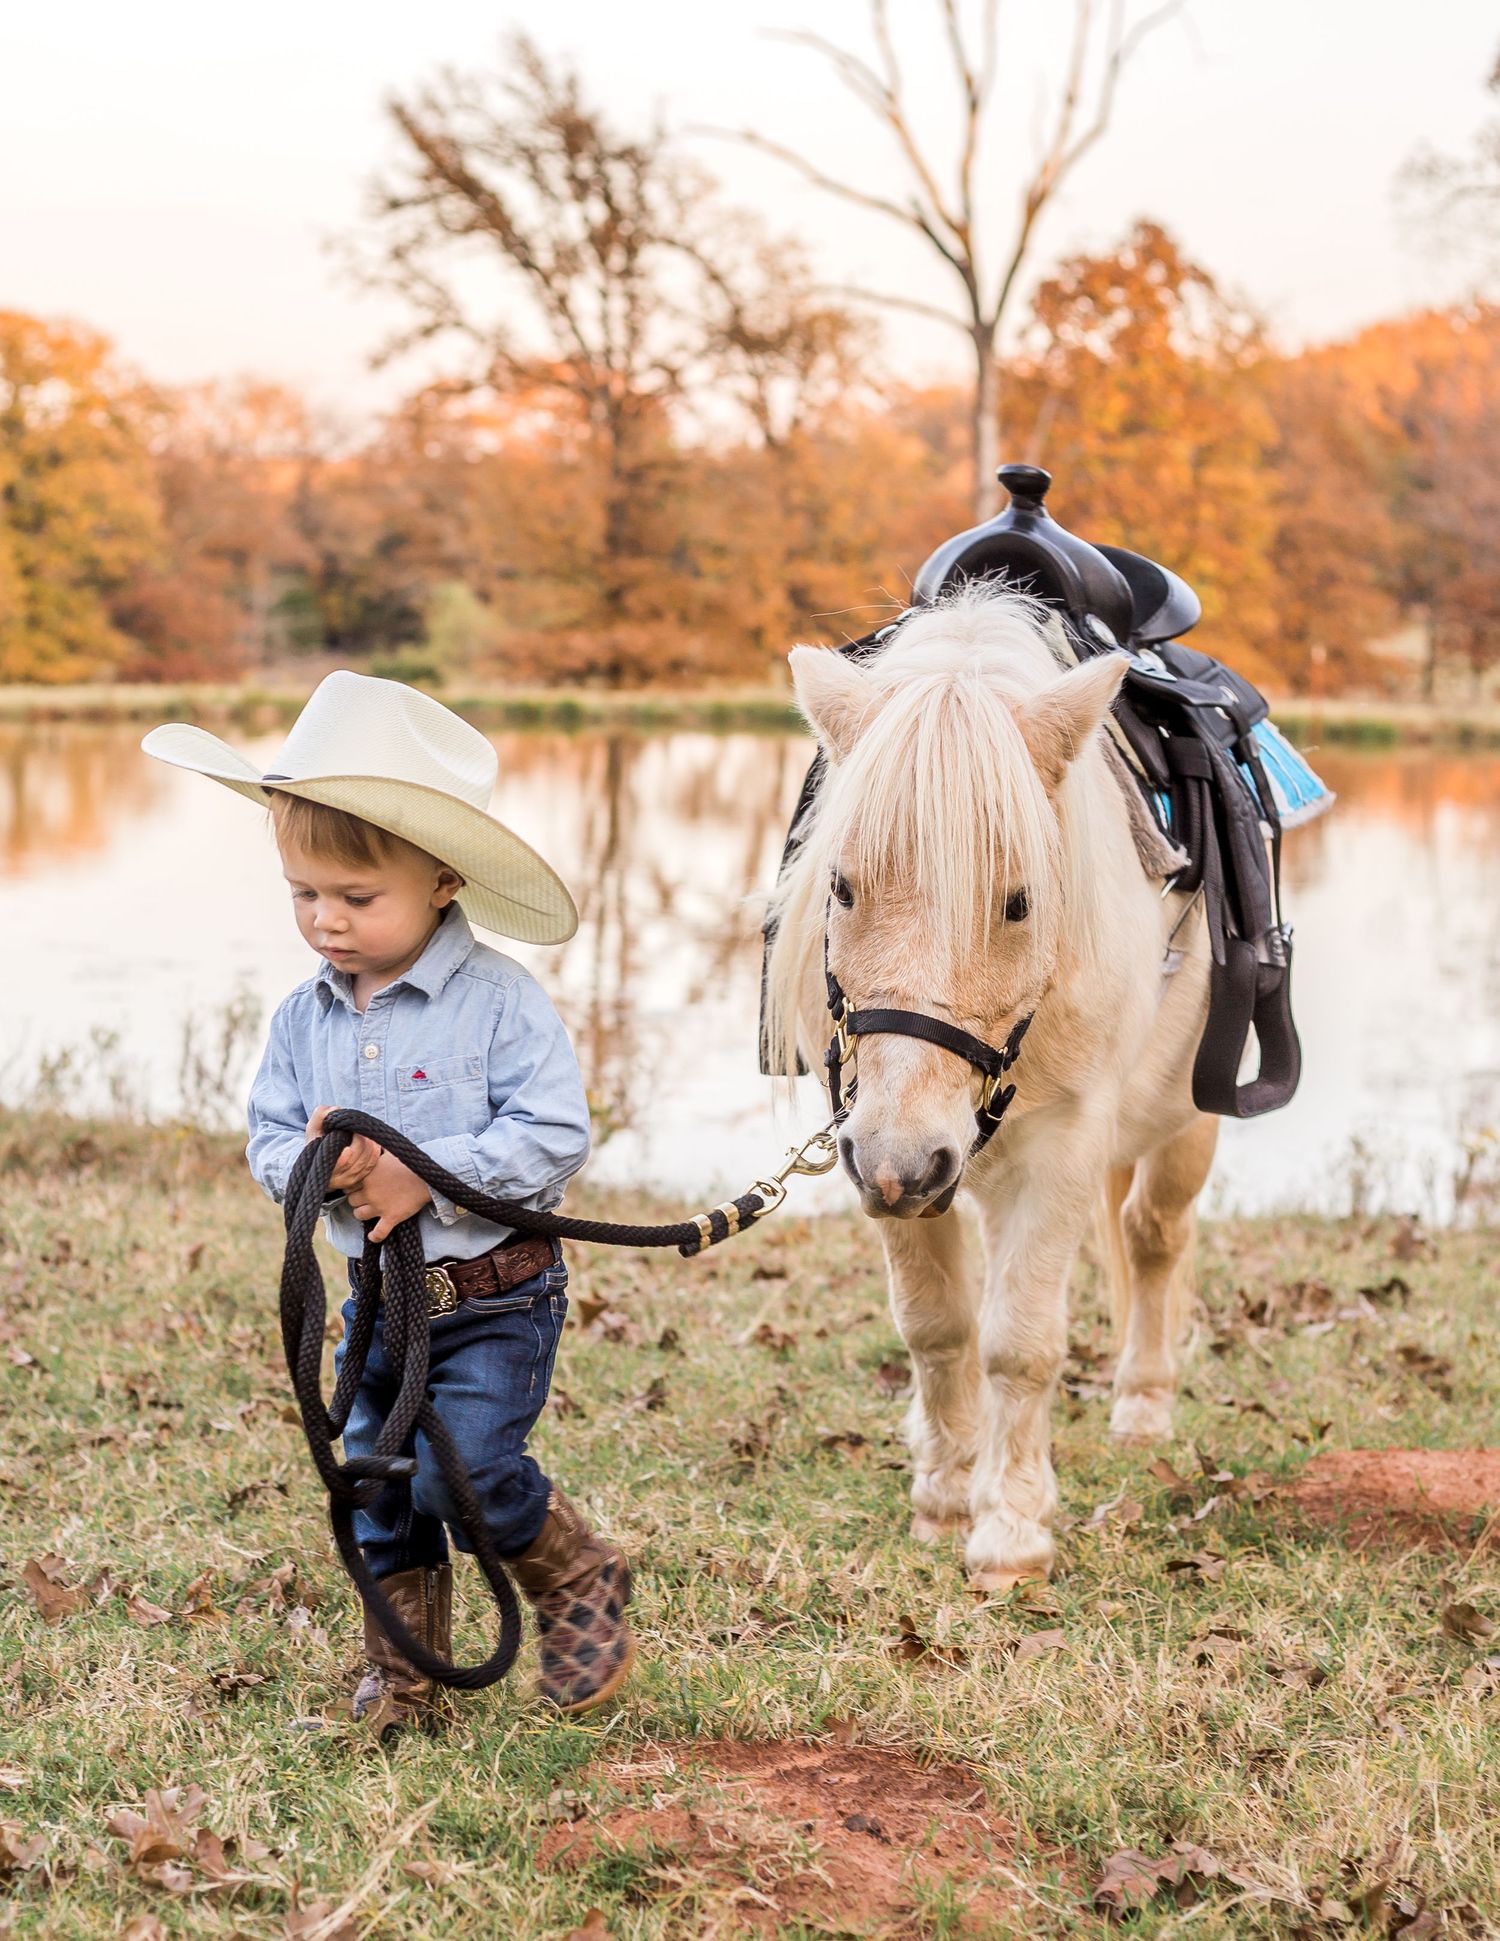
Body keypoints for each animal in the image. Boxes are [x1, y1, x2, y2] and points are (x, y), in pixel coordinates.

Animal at [763, 587, 1219, 1592]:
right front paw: (942, 1496)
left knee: (1154, 1236)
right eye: (841, 886)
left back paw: (1144, 1405)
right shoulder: (880, 1153)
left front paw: (1010, 1531)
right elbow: (936, 1327)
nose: (905, 1156)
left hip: (1189, 1123)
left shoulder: (1060, 1146)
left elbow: (1021, 1341)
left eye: (1019, 901)